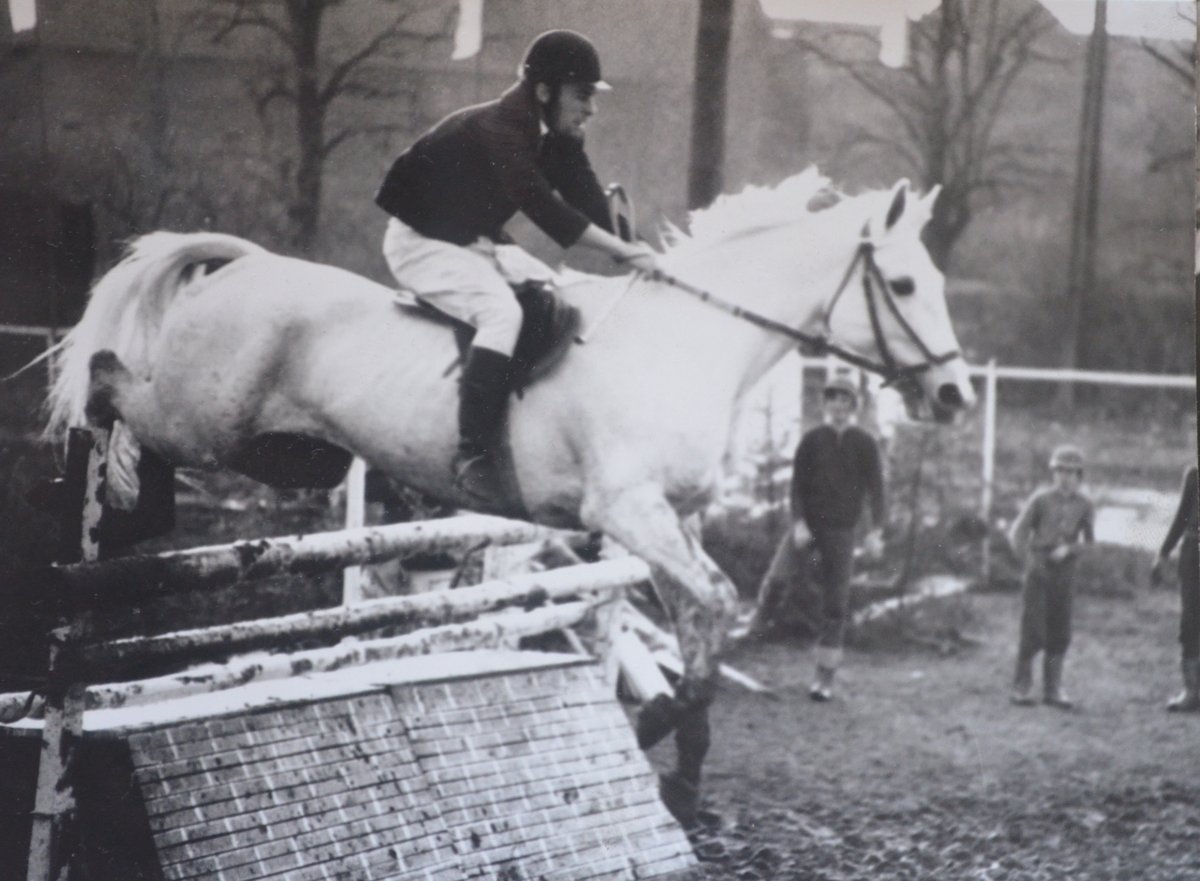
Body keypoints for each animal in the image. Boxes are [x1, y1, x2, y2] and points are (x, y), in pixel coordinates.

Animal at [42, 166, 974, 820]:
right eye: (903, 287)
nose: (955, 397)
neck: (687, 343)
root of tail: (247, 265)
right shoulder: (626, 510)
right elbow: (712, 605)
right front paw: (652, 729)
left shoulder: (673, 517)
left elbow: (709, 616)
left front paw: (681, 772)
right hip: (205, 417)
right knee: (111, 381)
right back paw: (112, 495)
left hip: (287, 452)